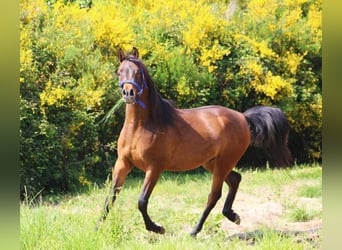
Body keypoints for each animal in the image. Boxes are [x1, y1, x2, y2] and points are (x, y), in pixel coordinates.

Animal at [97, 47, 292, 236]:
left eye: (138, 72)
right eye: (119, 72)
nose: (128, 93)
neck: (140, 127)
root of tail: (243, 117)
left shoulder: (154, 168)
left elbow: (142, 201)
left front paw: (157, 228)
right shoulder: (123, 163)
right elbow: (110, 197)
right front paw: (97, 228)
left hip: (223, 163)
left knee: (214, 195)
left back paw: (195, 231)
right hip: (212, 163)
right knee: (235, 179)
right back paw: (232, 216)